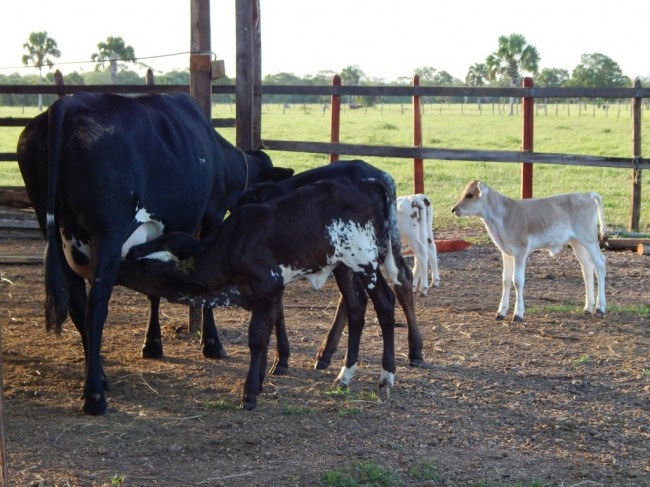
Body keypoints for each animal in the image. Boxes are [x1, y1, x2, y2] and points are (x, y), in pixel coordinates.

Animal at [17, 92, 292, 416]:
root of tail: (65, 105)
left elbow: (153, 291)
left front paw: (152, 344)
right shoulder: (210, 217)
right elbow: (206, 291)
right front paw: (212, 344)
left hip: (54, 231)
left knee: (76, 302)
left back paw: (101, 377)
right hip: (108, 233)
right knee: (96, 306)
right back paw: (94, 395)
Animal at [127, 177, 400, 410]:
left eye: (149, 265)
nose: (131, 252)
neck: (235, 240)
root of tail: (368, 184)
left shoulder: (265, 288)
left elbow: (258, 336)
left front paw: (249, 393)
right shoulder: (267, 292)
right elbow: (268, 330)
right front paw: (258, 382)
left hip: (366, 264)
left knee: (385, 304)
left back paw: (386, 375)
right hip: (344, 267)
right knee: (355, 309)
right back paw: (345, 374)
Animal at [235, 160, 422, 370]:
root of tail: (382, 176)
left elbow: (276, 308)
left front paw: (280, 358)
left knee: (374, 292)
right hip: (379, 248)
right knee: (399, 280)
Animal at [448, 181, 604, 322]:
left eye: (470, 195)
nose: (454, 209)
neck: (503, 216)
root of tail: (586, 194)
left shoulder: (520, 252)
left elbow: (517, 280)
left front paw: (518, 314)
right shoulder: (506, 253)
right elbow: (506, 280)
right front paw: (501, 312)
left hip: (589, 239)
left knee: (600, 264)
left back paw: (600, 308)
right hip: (577, 242)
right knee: (587, 268)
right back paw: (588, 308)